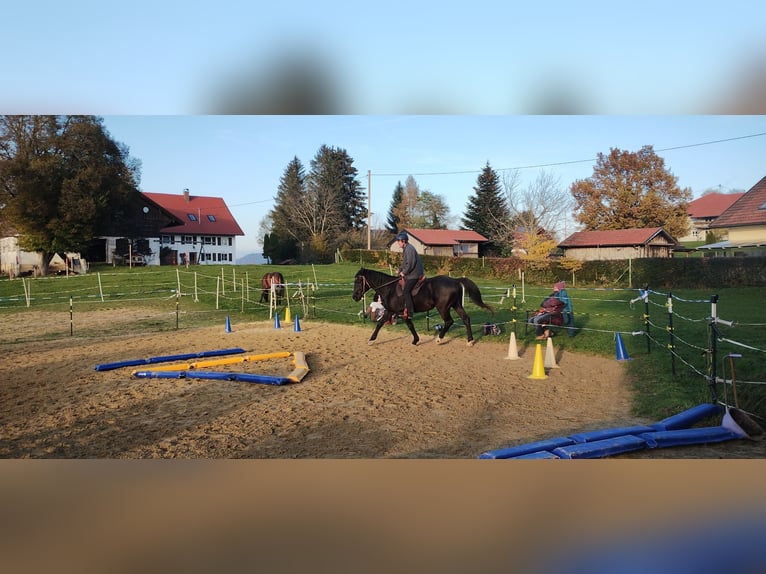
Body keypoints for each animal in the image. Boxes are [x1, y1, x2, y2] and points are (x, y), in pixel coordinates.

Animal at [352, 268, 494, 346]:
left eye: (358, 280)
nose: (354, 297)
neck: (390, 288)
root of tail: (455, 280)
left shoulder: (400, 312)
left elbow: (409, 325)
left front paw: (415, 340)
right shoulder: (391, 311)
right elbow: (380, 324)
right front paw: (371, 340)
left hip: (443, 308)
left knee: (449, 321)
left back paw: (439, 339)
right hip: (456, 305)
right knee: (466, 319)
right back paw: (470, 340)